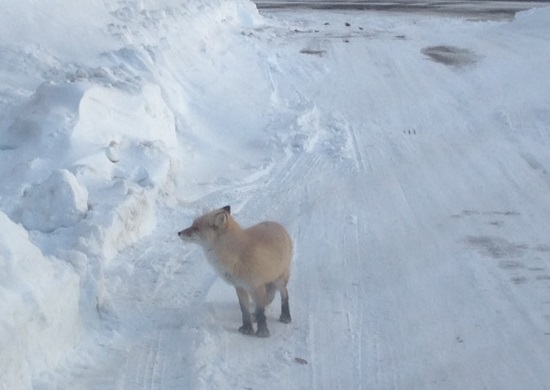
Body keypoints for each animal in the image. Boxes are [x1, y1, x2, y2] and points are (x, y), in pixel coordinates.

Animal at [180, 206, 294, 336]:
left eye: (195, 227)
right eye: (192, 225)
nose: (179, 233)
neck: (237, 253)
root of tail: (278, 225)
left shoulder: (257, 285)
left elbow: (261, 311)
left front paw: (262, 332)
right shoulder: (240, 286)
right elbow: (244, 310)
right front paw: (247, 328)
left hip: (279, 280)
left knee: (284, 294)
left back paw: (285, 316)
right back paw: (254, 316)